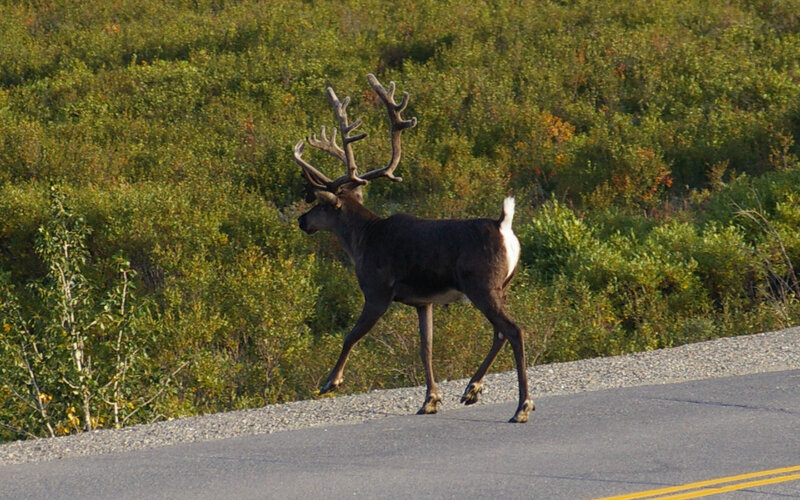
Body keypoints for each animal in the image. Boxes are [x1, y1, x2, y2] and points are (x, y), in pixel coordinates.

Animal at [294, 74, 534, 423]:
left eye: (321, 205)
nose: (302, 220)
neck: (363, 239)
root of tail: (504, 225)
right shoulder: (424, 301)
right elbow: (426, 347)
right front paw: (430, 399)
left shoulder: (377, 291)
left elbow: (351, 335)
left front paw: (330, 381)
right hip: (502, 286)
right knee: (500, 333)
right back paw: (471, 389)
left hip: (481, 284)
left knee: (513, 330)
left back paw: (522, 406)